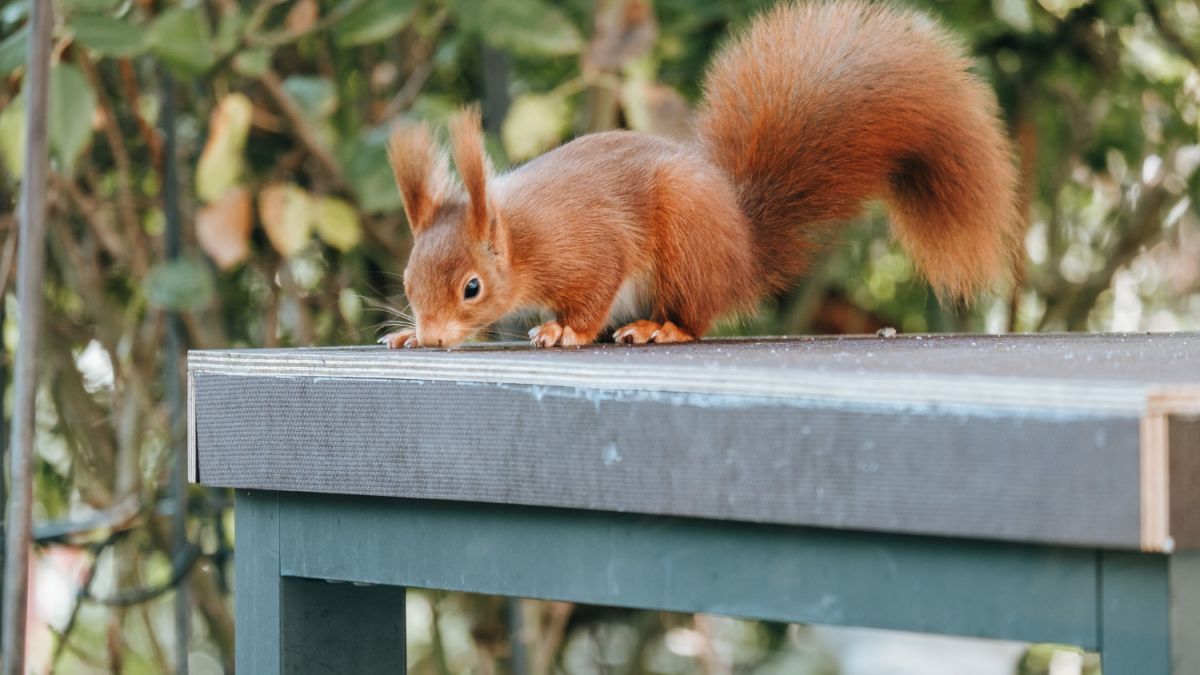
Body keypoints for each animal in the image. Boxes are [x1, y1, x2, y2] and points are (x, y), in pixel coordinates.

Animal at [379, 0, 1017, 345]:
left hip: (686, 246)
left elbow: (593, 292)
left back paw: (659, 328)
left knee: (694, 315)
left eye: (472, 287)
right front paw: (407, 333)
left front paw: (566, 331)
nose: (433, 335)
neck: (521, 238)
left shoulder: (588, 247)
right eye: (408, 282)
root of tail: (742, 251)